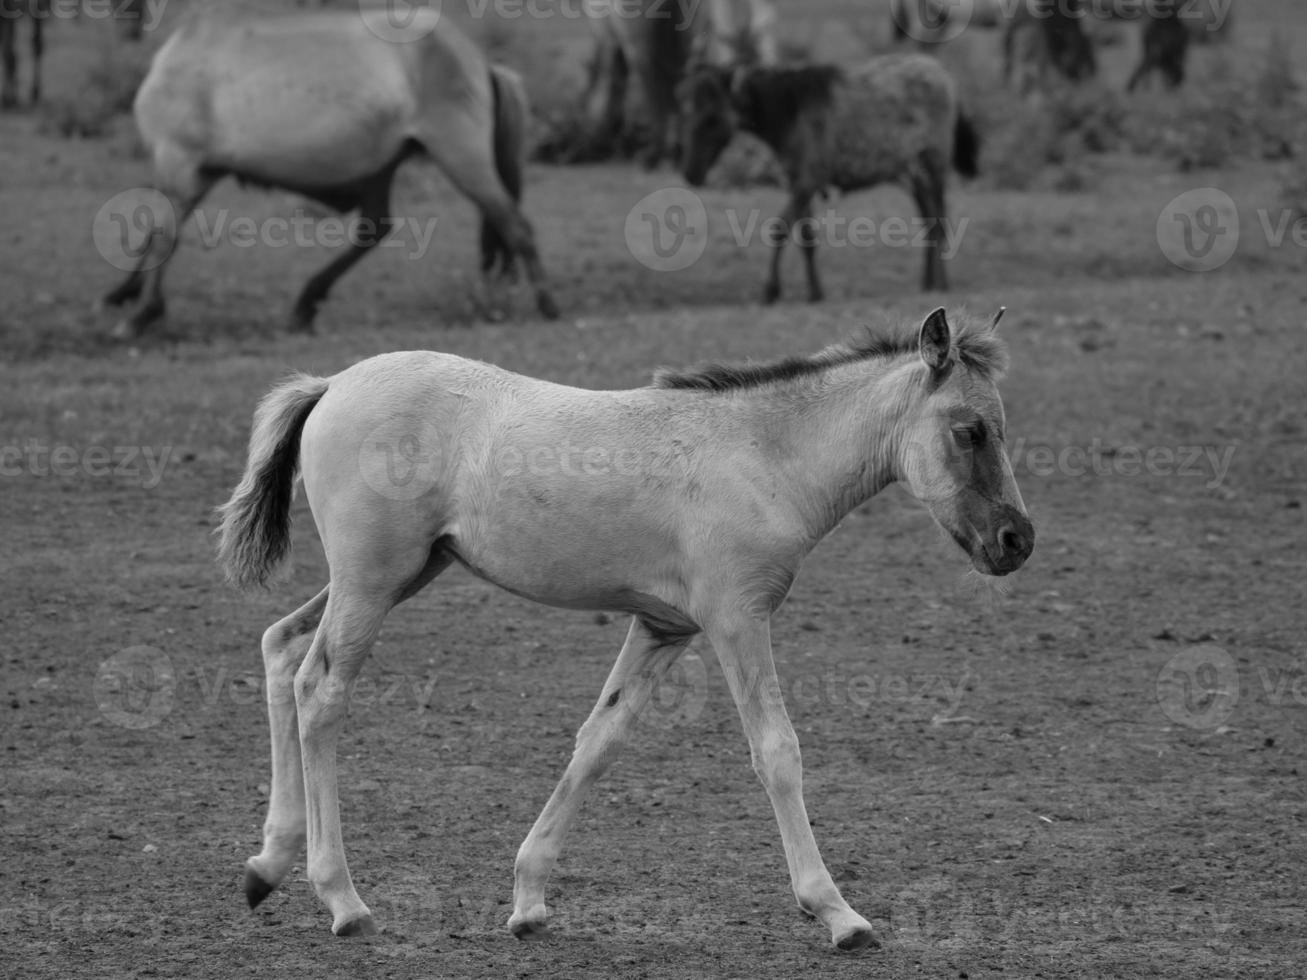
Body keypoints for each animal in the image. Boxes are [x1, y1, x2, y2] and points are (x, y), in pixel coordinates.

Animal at [99, 2, 554, 337]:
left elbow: (163, 236)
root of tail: (480, 61)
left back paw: (547, 304)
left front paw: (141, 313)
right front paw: (124, 294)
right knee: (375, 228)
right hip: (384, 168)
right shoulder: (195, 172)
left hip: (461, 156)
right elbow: (154, 233)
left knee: (514, 224)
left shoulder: (180, 162)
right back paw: (305, 304)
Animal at [679, 53, 977, 305]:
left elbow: (779, 229)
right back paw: (927, 284)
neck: (788, 115)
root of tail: (946, 76)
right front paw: (815, 292)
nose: (691, 173)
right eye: (687, 111)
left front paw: (771, 290)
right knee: (929, 221)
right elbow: (806, 237)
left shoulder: (809, 178)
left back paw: (941, 284)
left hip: (934, 164)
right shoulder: (797, 181)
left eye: (712, 118)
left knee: (940, 221)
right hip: (911, 172)